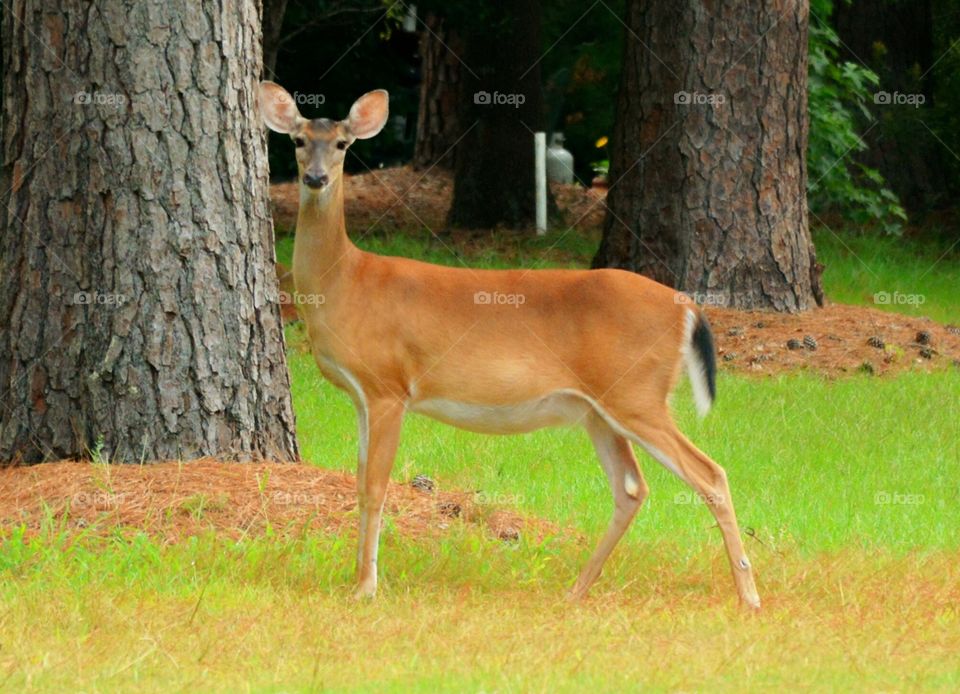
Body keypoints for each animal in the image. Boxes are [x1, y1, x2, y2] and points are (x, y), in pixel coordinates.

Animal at [258, 83, 760, 608]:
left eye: (341, 144)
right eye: (297, 140)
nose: (315, 178)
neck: (345, 283)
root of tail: (688, 307)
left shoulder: (389, 387)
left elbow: (376, 487)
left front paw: (366, 588)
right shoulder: (361, 396)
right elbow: (359, 483)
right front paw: (358, 579)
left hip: (636, 393)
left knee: (709, 474)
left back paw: (748, 596)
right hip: (600, 409)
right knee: (631, 488)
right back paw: (576, 590)